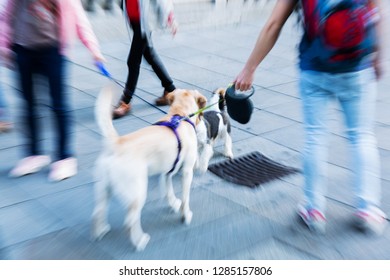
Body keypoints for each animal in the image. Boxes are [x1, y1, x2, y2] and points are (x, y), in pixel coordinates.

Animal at [92, 85, 207, 252]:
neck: (179, 114)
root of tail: (117, 143)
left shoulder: (167, 171)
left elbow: (168, 191)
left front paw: (174, 204)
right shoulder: (186, 171)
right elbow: (185, 198)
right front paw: (185, 215)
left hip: (104, 188)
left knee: (98, 211)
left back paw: (100, 231)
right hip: (138, 191)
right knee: (130, 219)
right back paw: (140, 241)